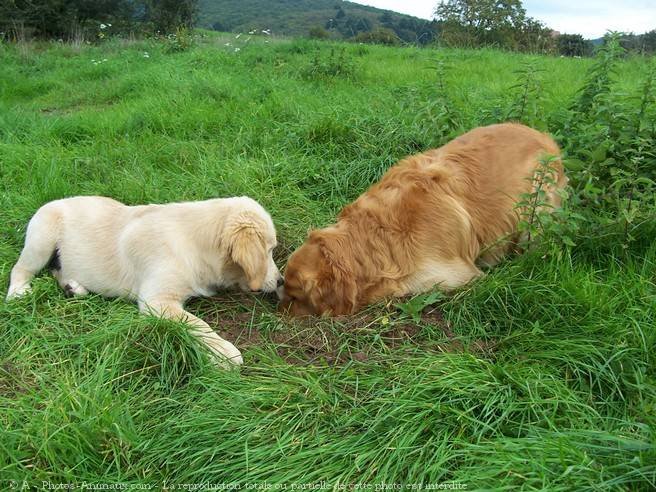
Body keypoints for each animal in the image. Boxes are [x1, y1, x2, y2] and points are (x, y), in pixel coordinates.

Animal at [5, 195, 282, 366]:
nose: (280, 281)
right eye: (268, 251)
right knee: (19, 269)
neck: (193, 242)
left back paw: (73, 288)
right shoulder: (157, 301)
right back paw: (18, 292)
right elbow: (196, 324)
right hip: (41, 239)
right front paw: (224, 352)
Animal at [284, 121, 568, 318]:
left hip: (538, 208)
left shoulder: (451, 275)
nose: (278, 307)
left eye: (296, 297)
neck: (381, 233)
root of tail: (543, 135)